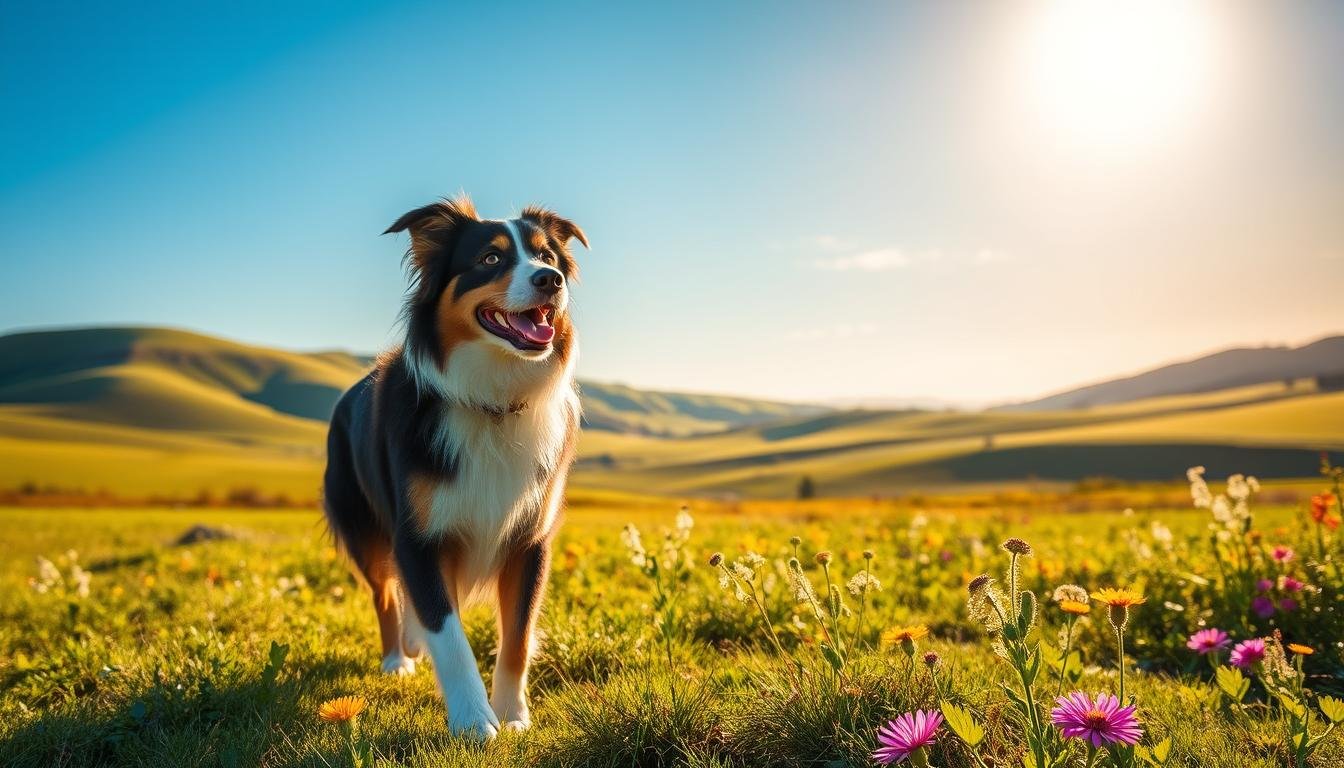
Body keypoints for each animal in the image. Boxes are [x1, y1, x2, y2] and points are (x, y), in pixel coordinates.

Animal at [325, 196, 588, 737]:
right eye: (490, 258)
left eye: (546, 255)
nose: (551, 279)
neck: (492, 401)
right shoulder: (417, 538)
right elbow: (447, 631)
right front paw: (473, 720)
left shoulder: (530, 541)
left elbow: (517, 637)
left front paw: (512, 714)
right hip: (365, 529)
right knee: (385, 594)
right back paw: (397, 660)